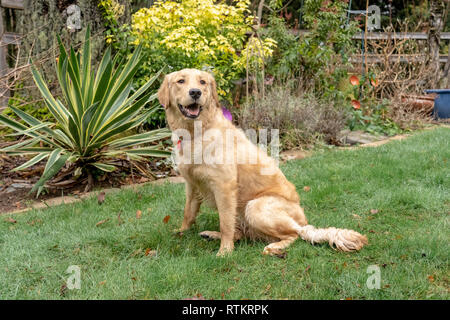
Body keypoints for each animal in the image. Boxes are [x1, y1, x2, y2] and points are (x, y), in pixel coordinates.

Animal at [156, 69, 368, 256]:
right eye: (181, 81)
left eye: (202, 82)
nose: (195, 92)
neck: (196, 132)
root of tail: (303, 222)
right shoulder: (192, 185)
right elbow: (188, 212)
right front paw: (181, 232)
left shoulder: (224, 187)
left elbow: (225, 223)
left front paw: (225, 252)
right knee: (241, 233)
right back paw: (212, 234)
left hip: (255, 206)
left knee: (295, 235)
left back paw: (274, 247)